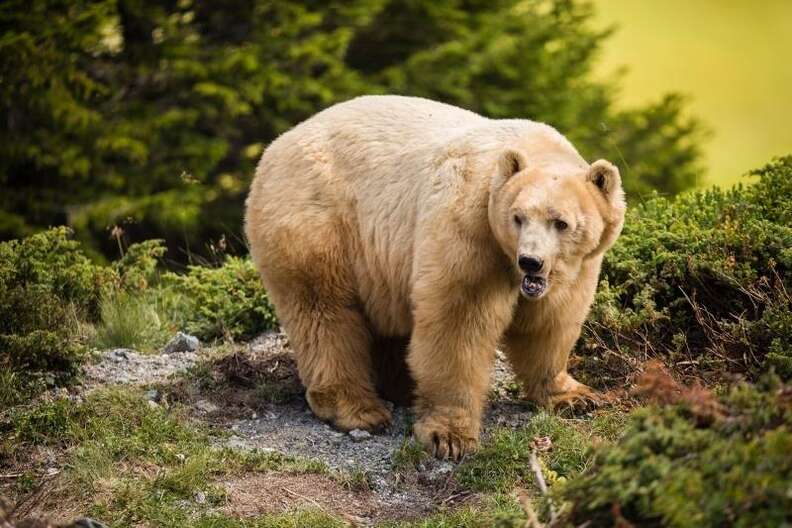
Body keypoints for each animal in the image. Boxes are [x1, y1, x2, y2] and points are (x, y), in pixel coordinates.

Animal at [244, 95, 628, 458]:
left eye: (560, 222)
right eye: (518, 217)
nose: (530, 261)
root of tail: (274, 148)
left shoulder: (576, 267)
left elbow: (551, 322)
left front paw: (574, 395)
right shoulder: (471, 229)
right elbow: (458, 322)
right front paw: (450, 436)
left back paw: (398, 386)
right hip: (317, 220)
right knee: (324, 311)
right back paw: (358, 408)